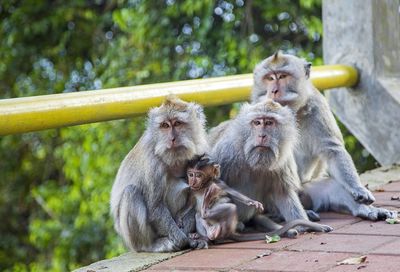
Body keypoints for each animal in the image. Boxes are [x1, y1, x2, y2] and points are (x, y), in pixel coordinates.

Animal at [109, 96, 209, 253]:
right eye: (165, 126)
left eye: (178, 123)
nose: (172, 139)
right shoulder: (152, 161)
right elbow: (155, 207)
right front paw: (185, 241)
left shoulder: (201, 151)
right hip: (131, 238)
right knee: (131, 193)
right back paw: (151, 245)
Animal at [250, 51, 396, 221]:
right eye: (269, 78)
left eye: (282, 76)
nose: (273, 90)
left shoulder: (317, 106)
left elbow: (332, 149)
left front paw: (358, 188)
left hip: (306, 188)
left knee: (331, 185)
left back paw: (366, 210)